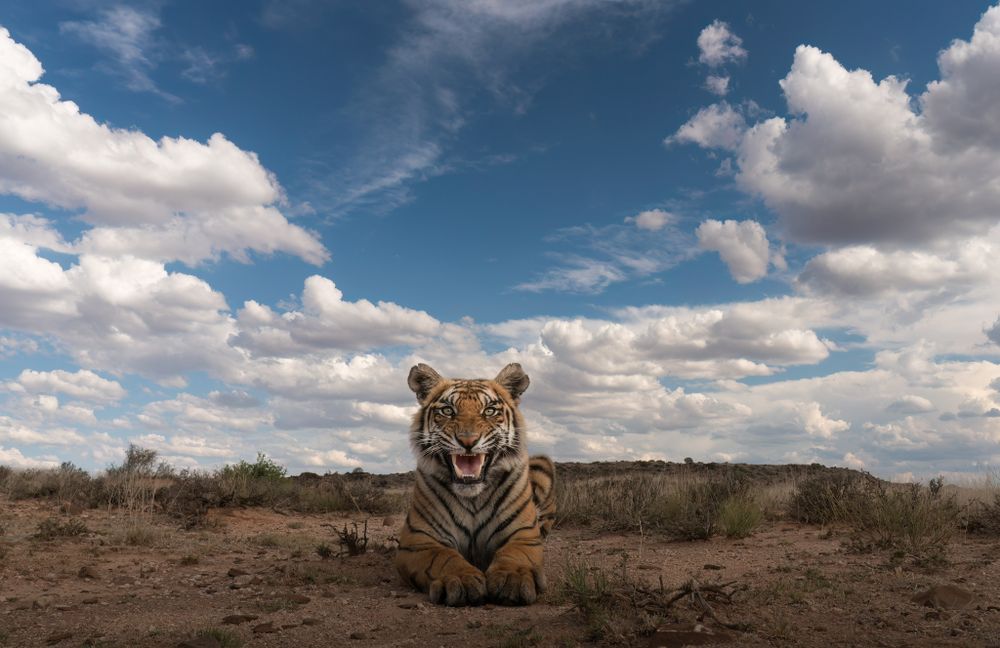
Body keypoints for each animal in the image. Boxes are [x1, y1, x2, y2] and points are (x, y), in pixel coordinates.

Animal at [395, 362, 556, 606]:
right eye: (448, 410)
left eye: (489, 411)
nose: (468, 440)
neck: (473, 497)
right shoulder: (419, 540)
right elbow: (443, 557)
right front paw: (461, 580)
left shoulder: (524, 535)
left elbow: (515, 555)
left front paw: (512, 579)